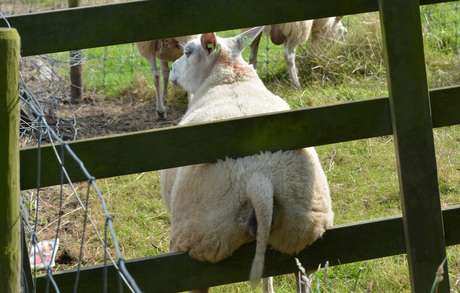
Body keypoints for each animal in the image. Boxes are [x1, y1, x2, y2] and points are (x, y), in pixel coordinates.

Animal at [160, 26, 332, 290]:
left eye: (188, 51)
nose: (172, 71)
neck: (231, 77)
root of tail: (258, 181)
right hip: (303, 232)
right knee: (299, 275)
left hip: (198, 239)